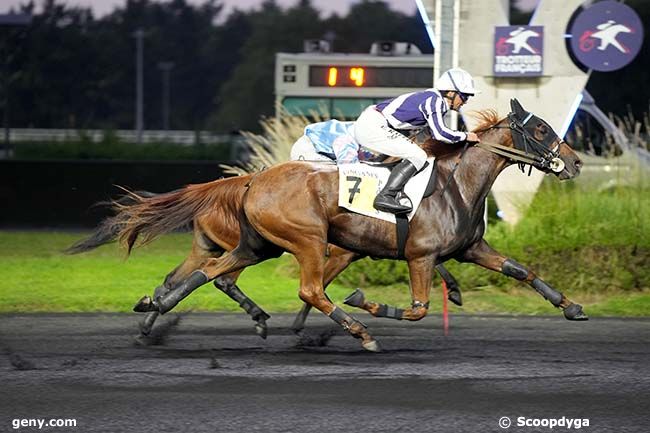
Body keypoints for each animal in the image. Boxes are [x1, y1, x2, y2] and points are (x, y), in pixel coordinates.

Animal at [132, 98, 588, 352]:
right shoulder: (420, 255)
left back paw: (153, 313)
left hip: (256, 244)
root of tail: (251, 180)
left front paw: (571, 306)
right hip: (307, 240)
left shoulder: (470, 249)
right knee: (309, 289)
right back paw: (359, 332)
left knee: (205, 275)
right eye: (541, 128)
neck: (456, 183)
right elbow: (417, 309)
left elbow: (521, 270)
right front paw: (365, 303)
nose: (576, 162)